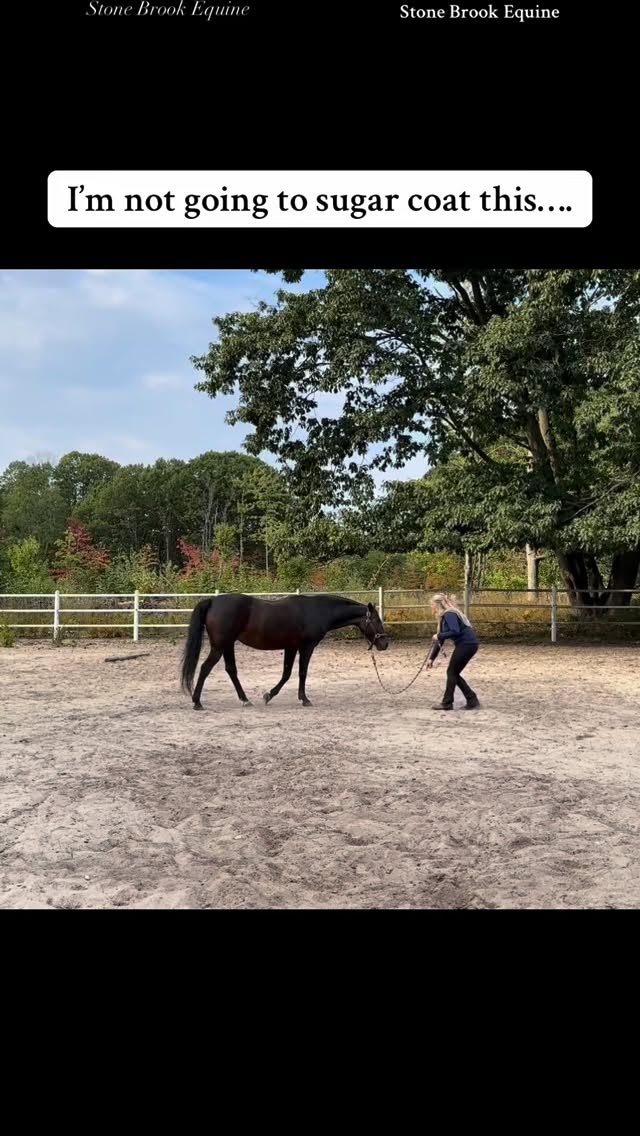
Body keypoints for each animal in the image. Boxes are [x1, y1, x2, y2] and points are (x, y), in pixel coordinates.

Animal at [180, 592, 389, 710]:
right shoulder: (306, 647)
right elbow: (301, 672)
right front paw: (304, 699)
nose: (385, 643)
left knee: (231, 670)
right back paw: (197, 702)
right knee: (205, 668)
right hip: (220, 646)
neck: (317, 610)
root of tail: (212, 601)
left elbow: (287, 673)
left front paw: (269, 695)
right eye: (376, 620)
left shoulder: (291, 647)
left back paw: (245, 700)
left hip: (228, 645)